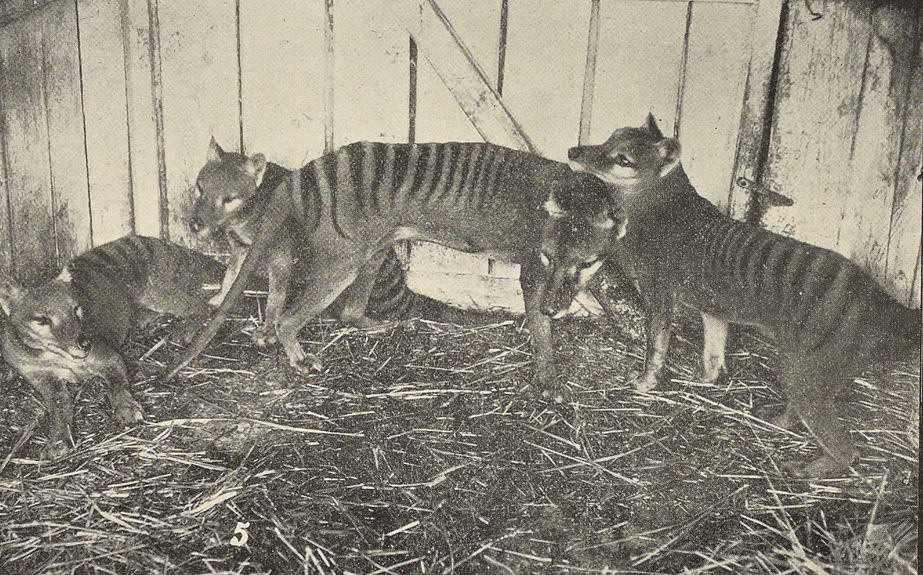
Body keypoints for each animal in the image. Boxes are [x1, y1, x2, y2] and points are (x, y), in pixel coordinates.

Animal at [0, 236, 225, 459]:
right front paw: (57, 441)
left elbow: (117, 386)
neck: (56, 357)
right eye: (42, 319)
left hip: (157, 291)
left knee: (204, 306)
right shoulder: (41, 378)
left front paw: (127, 408)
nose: (84, 342)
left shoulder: (108, 356)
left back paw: (184, 330)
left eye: (75, 308)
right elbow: (60, 406)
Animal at [179, 140, 626, 402]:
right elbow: (539, 327)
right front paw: (548, 376)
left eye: (587, 263)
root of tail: (306, 171)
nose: (556, 306)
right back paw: (298, 356)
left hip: (376, 248)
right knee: (290, 318)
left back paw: (371, 325)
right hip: (343, 261)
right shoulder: (534, 271)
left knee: (349, 310)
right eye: (550, 256)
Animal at [567, 115, 921, 477]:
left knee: (845, 448)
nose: (573, 151)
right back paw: (777, 419)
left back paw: (810, 469)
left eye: (623, 159)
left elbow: (656, 345)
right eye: (608, 139)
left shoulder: (659, 291)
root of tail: (885, 304)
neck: (665, 211)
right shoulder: (713, 307)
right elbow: (713, 349)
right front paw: (706, 379)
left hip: (805, 371)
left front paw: (644, 381)